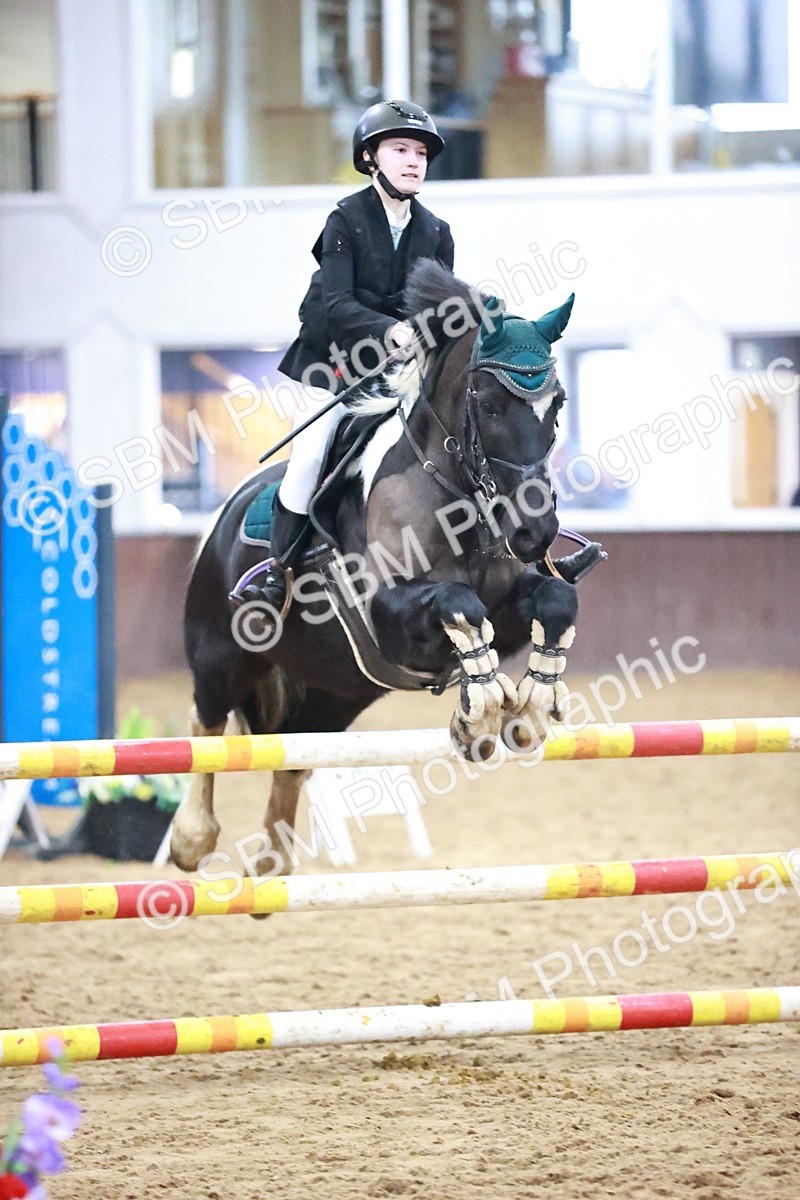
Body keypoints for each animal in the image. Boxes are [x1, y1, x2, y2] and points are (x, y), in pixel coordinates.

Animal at [171, 260, 604, 877]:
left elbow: (554, 599)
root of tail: (224, 515)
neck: (455, 495)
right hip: (221, 651)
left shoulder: (511, 603)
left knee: (293, 755)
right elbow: (458, 603)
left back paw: (273, 864)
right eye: (489, 404)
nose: (534, 532)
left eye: (558, 404)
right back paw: (192, 838)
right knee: (206, 725)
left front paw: (531, 705)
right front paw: (480, 713)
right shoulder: (385, 613)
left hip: (335, 690)